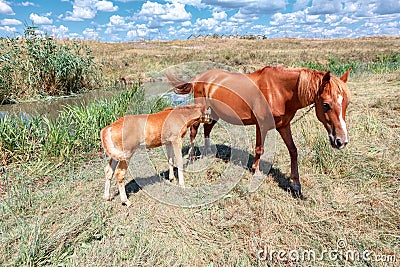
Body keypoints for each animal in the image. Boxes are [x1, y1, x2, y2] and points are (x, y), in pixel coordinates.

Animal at [167, 66, 352, 196]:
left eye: (347, 103)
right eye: (326, 105)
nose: (341, 141)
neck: (279, 91)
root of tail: (199, 77)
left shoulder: (284, 125)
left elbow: (293, 150)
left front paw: (295, 185)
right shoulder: (261, 125)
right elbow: (259, 149)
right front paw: (255, 171)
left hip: (214, 113)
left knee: (207, 129)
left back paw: (208, 153)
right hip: (202, 109)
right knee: (194, 130)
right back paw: (191, 156)